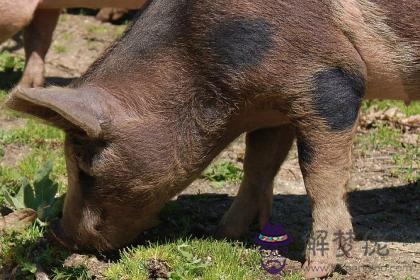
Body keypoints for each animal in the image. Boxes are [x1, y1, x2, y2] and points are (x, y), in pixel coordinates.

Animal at [4, 0, 418, 278]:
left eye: (84, 165)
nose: (60, 234)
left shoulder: (329, 80)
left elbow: (319, 176)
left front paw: (314, 270)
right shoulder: (273, 106)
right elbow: (258, 166)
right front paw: (223, 233)